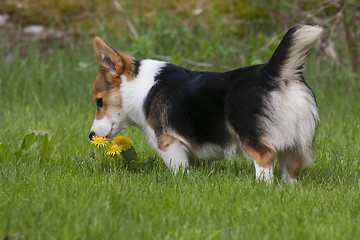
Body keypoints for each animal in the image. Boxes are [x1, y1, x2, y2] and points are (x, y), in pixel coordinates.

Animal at [89, 24, 324, 182]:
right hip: (298, 142)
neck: (142, 87)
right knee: (291, 170)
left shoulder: (170, 144)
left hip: (253, 138)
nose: (91, 136)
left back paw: (261, 187)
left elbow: (179, 169)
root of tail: (274, 72)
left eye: (99, 102)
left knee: (264, 161)